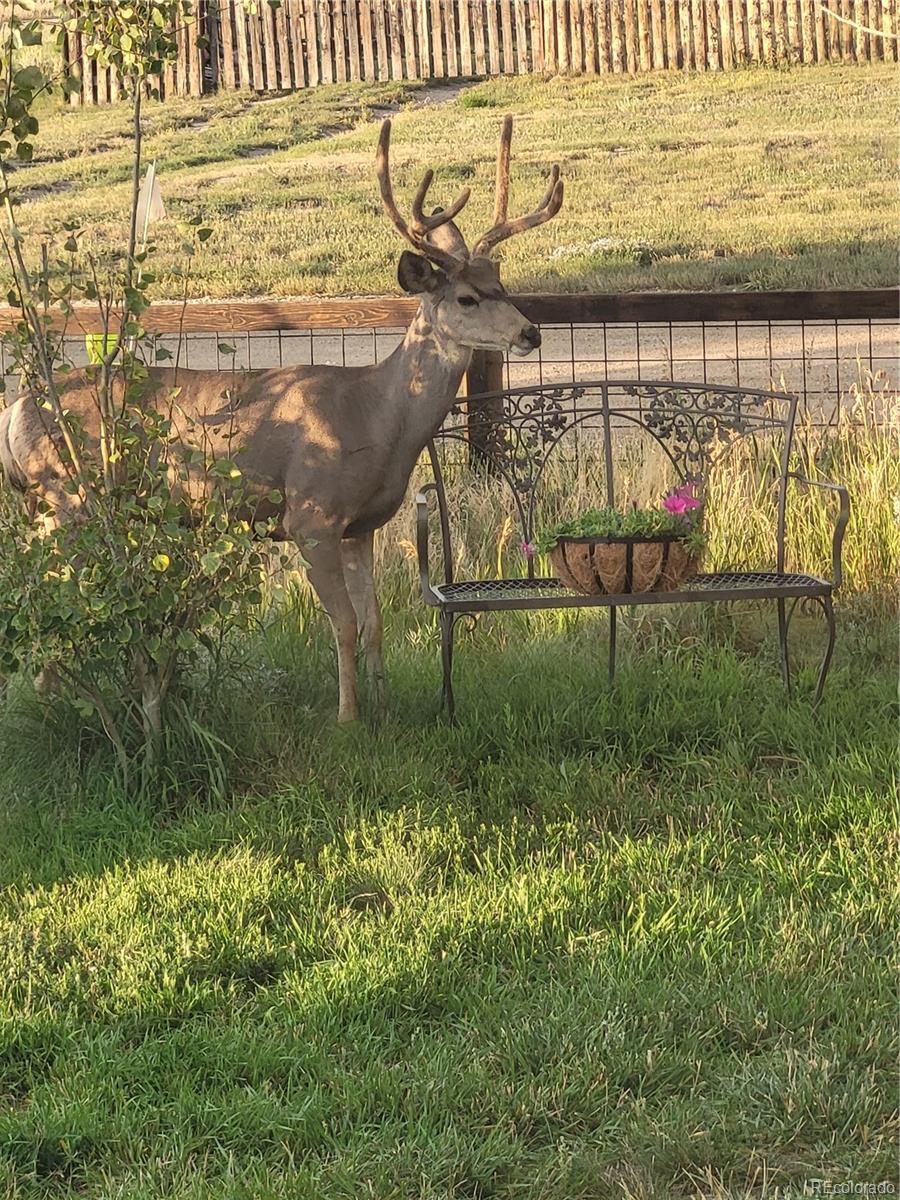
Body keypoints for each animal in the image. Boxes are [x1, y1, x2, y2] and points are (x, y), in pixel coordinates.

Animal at [0, 117, 564, 720]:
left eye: (502, 286)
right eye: (466, 298)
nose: (531, 333)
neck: (374, 415)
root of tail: (17, 408)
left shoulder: (361, 525)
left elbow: (375, 624)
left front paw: (384, 708)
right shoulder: (310, 516)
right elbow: (343, 625)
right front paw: (348, 718)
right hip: (67, 498)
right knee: (48, 586)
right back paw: (51, 703)